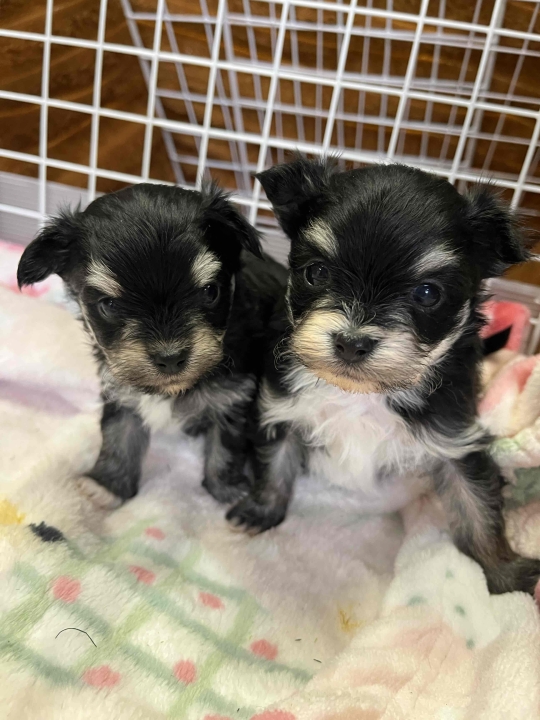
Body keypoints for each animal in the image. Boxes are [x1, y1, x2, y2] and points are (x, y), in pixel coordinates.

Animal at [17, 183, 286, 505]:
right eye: (108, 305)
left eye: (211, 292)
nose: (170, 357)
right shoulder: (121, 390)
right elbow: (119, 436)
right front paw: (107, 486)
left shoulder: (234, 397)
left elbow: (227, 445)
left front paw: (228, 490)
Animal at [227, 156, 540, 596]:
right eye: (316, 273)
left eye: (427, 293)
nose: (351, 342)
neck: (363, 394)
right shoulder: (281, 409)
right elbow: (275, 464)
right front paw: (260, 510)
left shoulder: (455, 437)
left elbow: (476, 504)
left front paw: (505, 577)